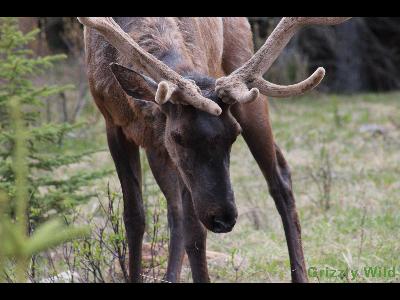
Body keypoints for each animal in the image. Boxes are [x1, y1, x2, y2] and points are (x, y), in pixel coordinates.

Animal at [77, 16, 350, 282]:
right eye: (177, 136)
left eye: (234, 134)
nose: (223, 218)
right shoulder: (114, 124)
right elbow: (134, 218)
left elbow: (195, 231)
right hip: (157, 148)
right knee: (174, 208)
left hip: (246, 79)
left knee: (279, 179)